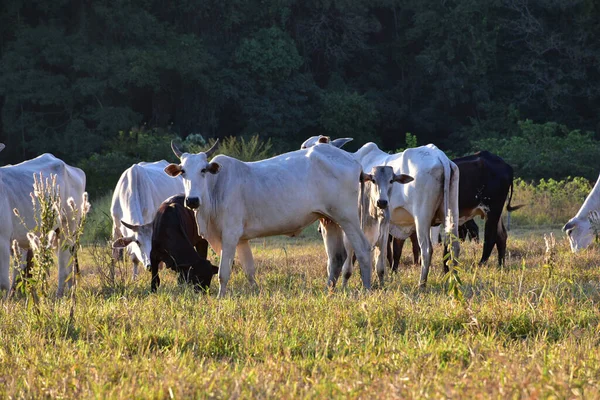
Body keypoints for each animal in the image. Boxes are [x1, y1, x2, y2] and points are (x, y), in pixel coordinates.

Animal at [164, 139, 376, 296]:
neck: (216, 187)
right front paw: (256, 292)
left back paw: (367, 289)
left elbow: (224, 272)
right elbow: (249, 271)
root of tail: (353, 160)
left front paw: (220, 298)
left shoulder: (230, 235)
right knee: (336, 257)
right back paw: (328, 292)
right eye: (183, 171)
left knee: (363, 249)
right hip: (329, 220)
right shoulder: (241, 240)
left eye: (203, 170)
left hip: (347, 217)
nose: (192, 200)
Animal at [302, 137, 462, 288]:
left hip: (422, 218)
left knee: (427, 249)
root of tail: (440, 155)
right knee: (454, 246)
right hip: (451, 212)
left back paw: (421, 284)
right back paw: (453, 281)